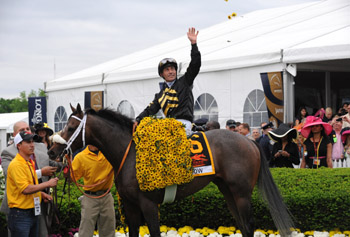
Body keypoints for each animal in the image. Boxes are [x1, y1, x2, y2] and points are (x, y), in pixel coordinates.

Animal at [47, 104, 294, 237]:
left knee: (249, 225)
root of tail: (249, 141)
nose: (51, 150)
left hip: (241, 193)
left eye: (71, 126)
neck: (129, 152)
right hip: (228, 191)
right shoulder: (130, 205)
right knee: (242, 225)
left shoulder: (148, 203)